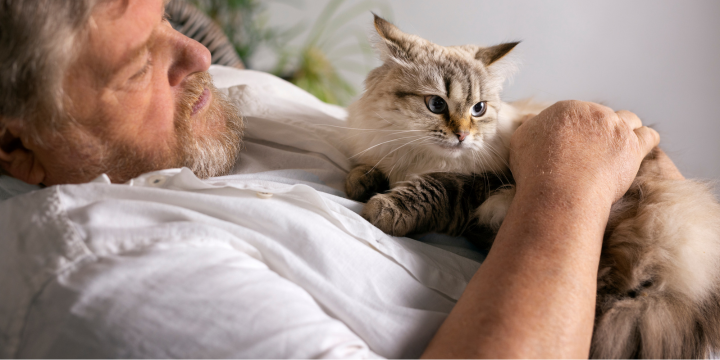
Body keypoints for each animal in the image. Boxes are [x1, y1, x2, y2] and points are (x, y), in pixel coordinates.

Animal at [342, 14, 720, 358]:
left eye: (478, 109)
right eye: (436, 104)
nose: (462, 135)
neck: (419, 156)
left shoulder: (482, 183)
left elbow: (433, 188)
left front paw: (383, 209)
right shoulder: (387, 150)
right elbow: (372, 168)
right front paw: (358, 182)